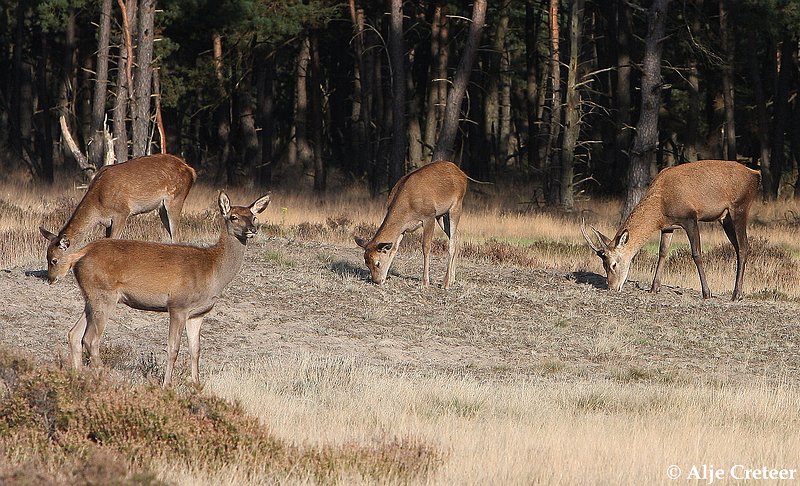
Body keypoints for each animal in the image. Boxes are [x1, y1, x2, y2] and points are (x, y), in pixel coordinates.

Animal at [39, 154, 197, 284]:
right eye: (46, 257)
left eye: (54, 260)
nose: (50, 280)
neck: (98, 206)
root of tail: (191, 170)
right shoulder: (108, 221)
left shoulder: (122, 212)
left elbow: (113, 239)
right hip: (162, 208)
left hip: (175, 198)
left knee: (176, 235)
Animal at [48, 192, 270, 386]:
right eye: (233, 217)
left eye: (253, 216)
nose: (252, 229)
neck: (212, 271)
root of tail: (79, 254)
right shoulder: (178, 305)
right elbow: (173, 348)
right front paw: (166, 384)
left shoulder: (198, 313)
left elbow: (196, 349)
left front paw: (197, 384)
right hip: (104, 295)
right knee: (91, 339)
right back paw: (105, 377)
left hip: (91, 297)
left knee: (74, 334)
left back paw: (79, 377)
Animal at [356, 160, 468, 288]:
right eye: (366, 263)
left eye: (377, 263)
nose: (376, 281)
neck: (407, 209)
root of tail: (463, 175)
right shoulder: (403, 228)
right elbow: (394, 249)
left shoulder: (429, 216)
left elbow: (426, 247)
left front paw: (425, 282)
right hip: (441, 215)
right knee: (457, 236)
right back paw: (452, 279)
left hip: (456, 206)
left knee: (452, 242)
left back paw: (446, 283)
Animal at [584, 160, 760, 300]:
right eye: (603, 264)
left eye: (613, 264)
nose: (612, 287)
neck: (661, 208)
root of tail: (756, 174)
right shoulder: (668, 227)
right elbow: (662, 252)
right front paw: (654, 288)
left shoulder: (690, 217)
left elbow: (696, 254)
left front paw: (706, 293)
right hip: (725, 218)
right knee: (737, 248)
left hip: (739, 207)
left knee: (744, 247)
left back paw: (736, 294)